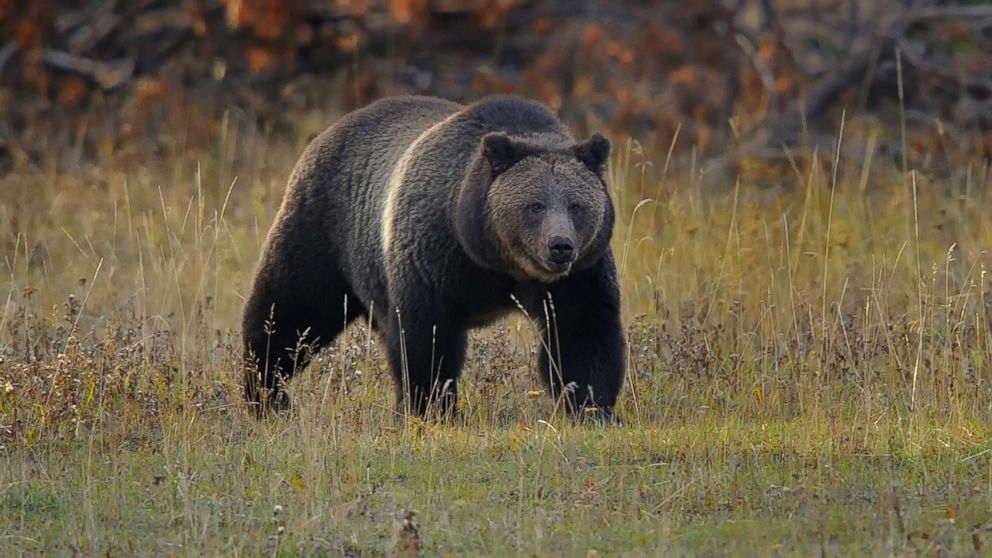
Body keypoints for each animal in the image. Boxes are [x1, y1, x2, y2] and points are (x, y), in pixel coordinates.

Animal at [242, 95, 625, 421]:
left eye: (576, 205)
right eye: (535, 205)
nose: (559, 246)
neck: (496, 261)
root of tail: (325, 133)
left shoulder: (580, 275)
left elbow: (582, 332)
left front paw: (593, 406)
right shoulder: (433, 256)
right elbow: (427, 337)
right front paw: (431, 407)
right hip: (323, 233)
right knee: (289, 312)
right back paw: (265, 395)